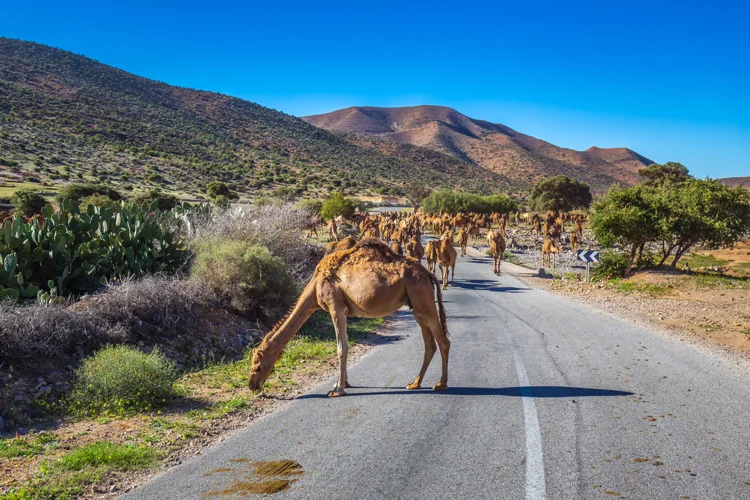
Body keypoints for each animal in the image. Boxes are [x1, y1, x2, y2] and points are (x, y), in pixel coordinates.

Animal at [250, 237, 452, 394]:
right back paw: (415, 383)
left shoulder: (335, 307)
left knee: (443, 341)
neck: (315, 288)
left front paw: (337, 389)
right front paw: (343, 382)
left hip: (423, 300)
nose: (252, 385)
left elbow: (341, 348)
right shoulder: (345, 311)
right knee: (429, 344)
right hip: (417, 306)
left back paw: (441, 384)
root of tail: (427, 273)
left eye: (257, 366)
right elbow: (345, 345)